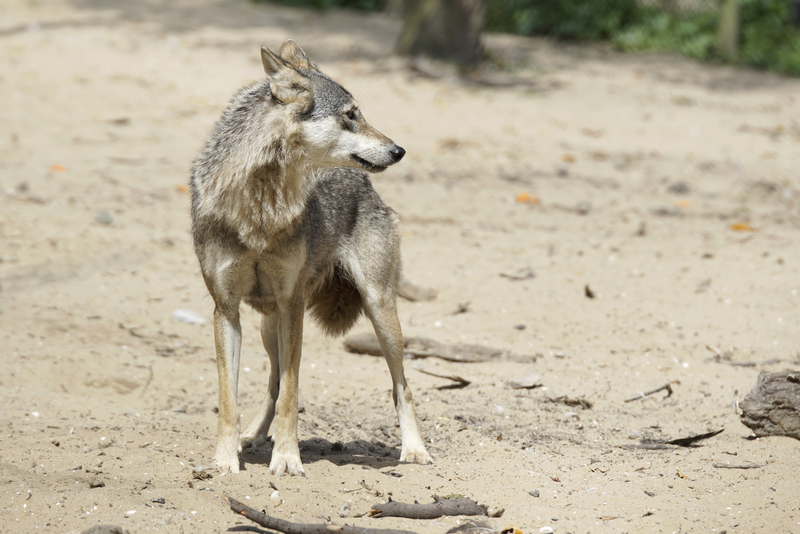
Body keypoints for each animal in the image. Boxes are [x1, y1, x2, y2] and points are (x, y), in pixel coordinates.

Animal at [189, 40, 433, 475]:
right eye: (350, 115)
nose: (399, 150)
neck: (261, 205)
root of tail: (367, 186)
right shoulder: (226, 309)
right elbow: (230, 398)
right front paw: (224, 460)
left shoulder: (293, 304)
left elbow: (292, 393)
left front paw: (287, 459)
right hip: (268, 326)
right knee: (271, 383)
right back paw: (253, 437)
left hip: (381, 314)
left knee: (401, 385)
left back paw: (414, 450)